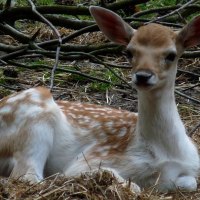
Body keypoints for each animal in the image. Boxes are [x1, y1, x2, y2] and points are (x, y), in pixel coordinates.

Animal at [0, 6, 200, 193]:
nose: (143, 75)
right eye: (129, 52)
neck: (165, 151)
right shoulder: (92, 157)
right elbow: (116, 178)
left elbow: (190, 182)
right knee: (27, 176)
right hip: (34, 123)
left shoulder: (193, 166)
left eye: (171, 55)